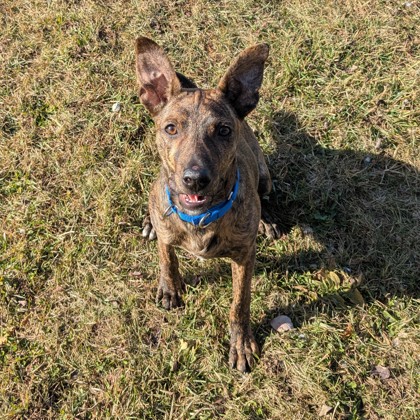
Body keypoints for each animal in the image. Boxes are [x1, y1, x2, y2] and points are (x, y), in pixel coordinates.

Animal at [136, 37, 278, 372]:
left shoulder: (244, 257)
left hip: (265, 174)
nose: (195, 179)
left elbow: (240, 303)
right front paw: (170, 288)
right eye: (170, 128)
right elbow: (167, 257)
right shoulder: (167, 230)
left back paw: (267, 220)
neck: (200, 218)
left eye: (223, 130)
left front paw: (241, 344)